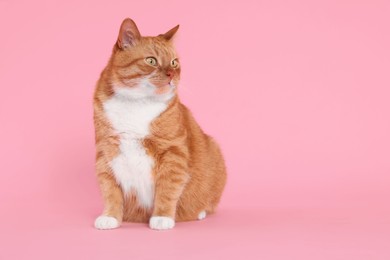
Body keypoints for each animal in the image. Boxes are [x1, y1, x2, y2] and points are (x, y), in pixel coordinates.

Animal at [93, 17, 225, 230]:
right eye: (151, 61)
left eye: (174, 62)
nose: (172, 74)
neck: (137, 103)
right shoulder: (106, 153)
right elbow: (110, 190)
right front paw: (110, 216)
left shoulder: (173, 153)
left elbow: (168, 188)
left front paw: (162, 217)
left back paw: (200, 212)